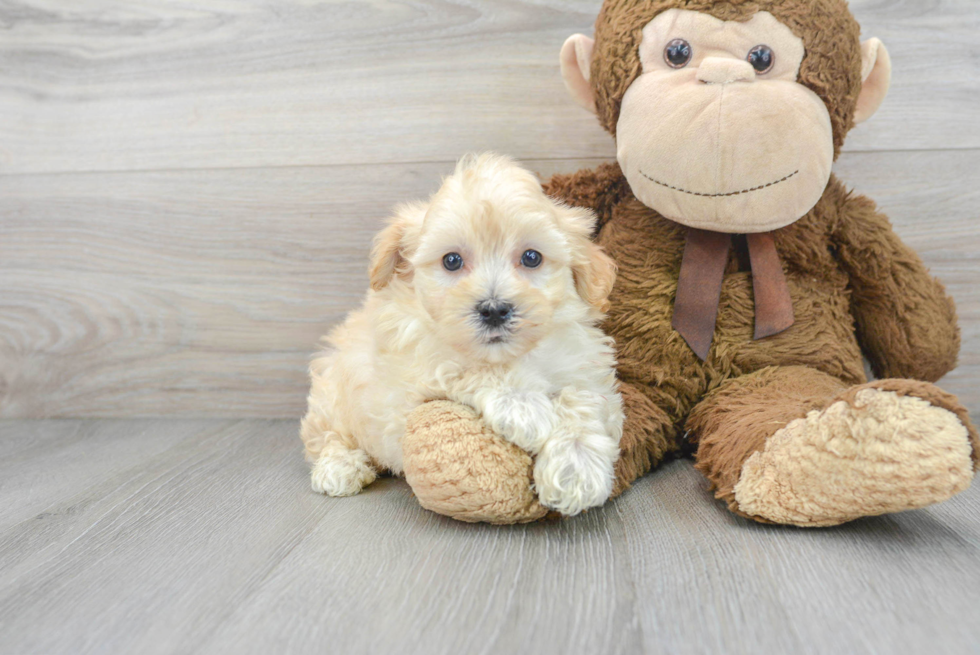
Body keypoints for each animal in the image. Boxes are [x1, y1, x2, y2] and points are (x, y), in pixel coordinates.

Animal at [298, 154, 624, 516]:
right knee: (326, 436)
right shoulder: (411, 372)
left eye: (532, 257)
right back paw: (340, 467)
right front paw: (525, 407)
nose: (494, 309)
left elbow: (583, 401)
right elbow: (463, 367)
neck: (509, 356)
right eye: (452, 261)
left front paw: (577, 468)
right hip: (332, 394)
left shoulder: (583, 367)